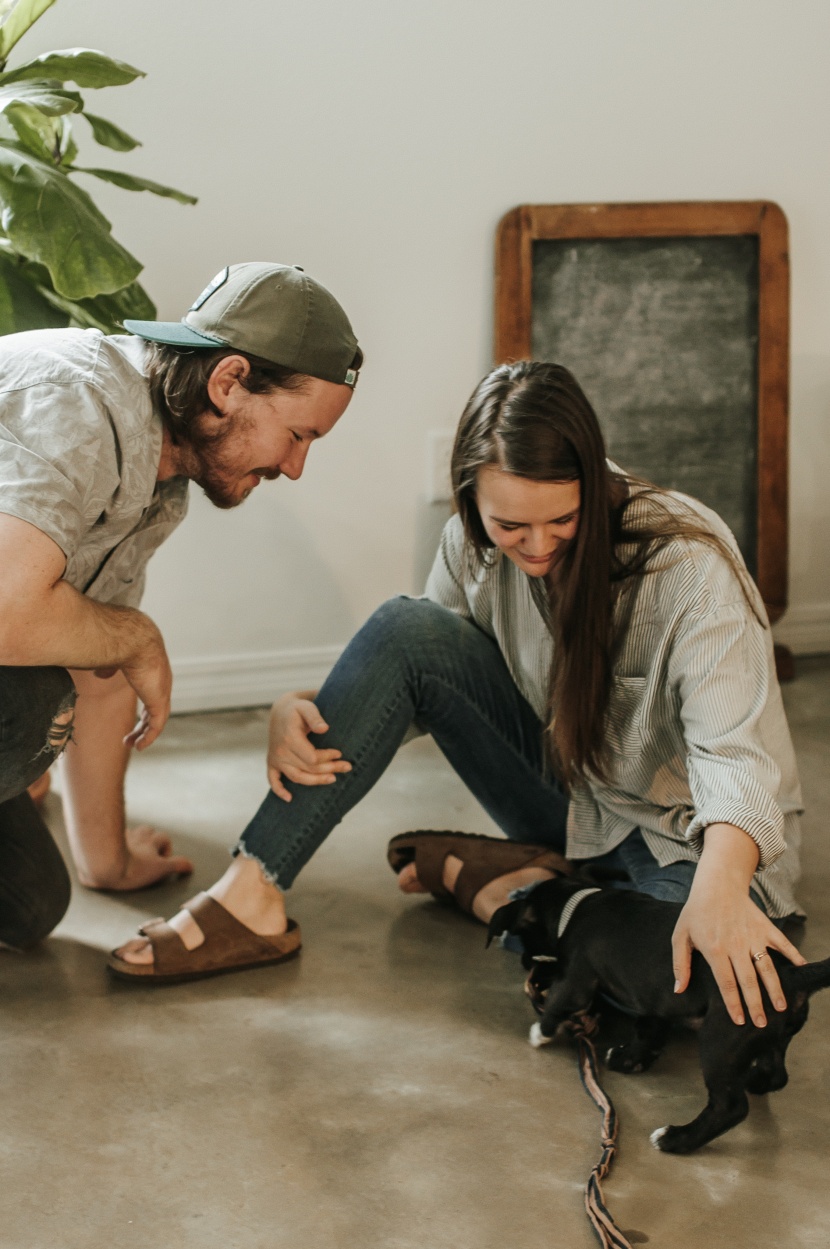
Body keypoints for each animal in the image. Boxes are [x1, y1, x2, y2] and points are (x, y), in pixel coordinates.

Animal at [486, 879, 828, 1149]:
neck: (575, 904)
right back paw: (754, 1080)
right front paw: (630, 1059)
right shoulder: (656, 1000)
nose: (526, 965)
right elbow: (649, 1031)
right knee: (777, 1074)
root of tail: (791, 975)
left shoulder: (577, 981)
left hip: (720, 1042)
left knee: (730, 1107)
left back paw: (676, 1139)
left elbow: (558, 1004)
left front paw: (539, 1034)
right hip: (771, 1037)